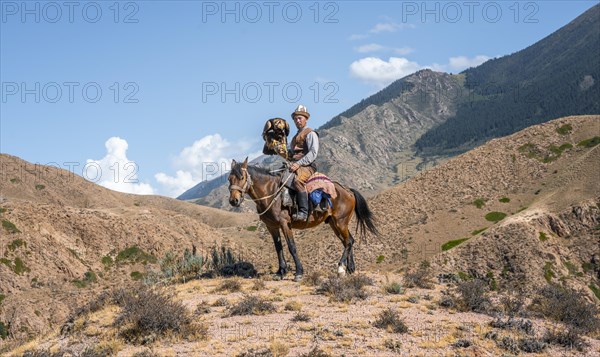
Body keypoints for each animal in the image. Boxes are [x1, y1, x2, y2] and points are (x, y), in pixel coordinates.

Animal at [227, 157, 378, 280]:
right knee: (349, 241)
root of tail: (348, 190)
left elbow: (291, 247)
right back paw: (350, 268)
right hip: (334, 223)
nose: (234, 201)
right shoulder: (272, 227)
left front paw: (299, 272)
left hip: (341, 222)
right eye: (229, 179)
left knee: (347, 242)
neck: (271, 192)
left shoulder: (285, 224)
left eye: (241, 177)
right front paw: (280, 272)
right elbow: (278, 248)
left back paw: (341, 268)